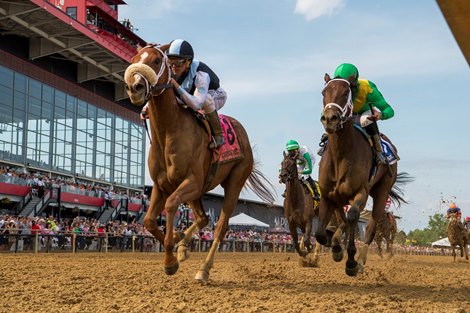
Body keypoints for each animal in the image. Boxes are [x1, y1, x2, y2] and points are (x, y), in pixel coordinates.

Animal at [123, 44, 276, 282]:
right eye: (134, 59)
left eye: (156, 61)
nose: (134, 87)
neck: (168, 132)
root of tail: (242, 133)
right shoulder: (161, 185)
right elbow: (148, 221)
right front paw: (177, 240)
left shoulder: (191, 182)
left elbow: (170, 206)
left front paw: (170, 260)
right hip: (198, 191)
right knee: (203, 219)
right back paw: (184, 246)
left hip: (233, 182)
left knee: (220, 227)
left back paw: (203, 269)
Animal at [316, 73, 412, 276]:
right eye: (323, 92)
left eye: (346, 92)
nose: (330, 119)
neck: (341, 155)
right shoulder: (329, 195)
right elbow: (321, 233)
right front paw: (335, 246)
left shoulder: (361, 192)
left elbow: (353, 218)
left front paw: (351, 261)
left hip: (381, 192)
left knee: (371, 227)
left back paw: (361, 260)